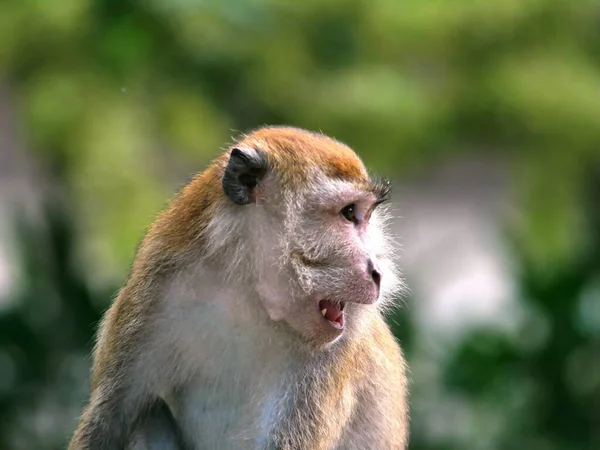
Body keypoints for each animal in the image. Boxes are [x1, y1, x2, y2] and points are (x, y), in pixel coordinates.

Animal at [69, 126, 408, 450]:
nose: (377, 273)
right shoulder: (154, 286)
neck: (249, 294)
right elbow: (108, 420)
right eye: (349, 213)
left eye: (364, 217)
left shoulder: (339, 344)